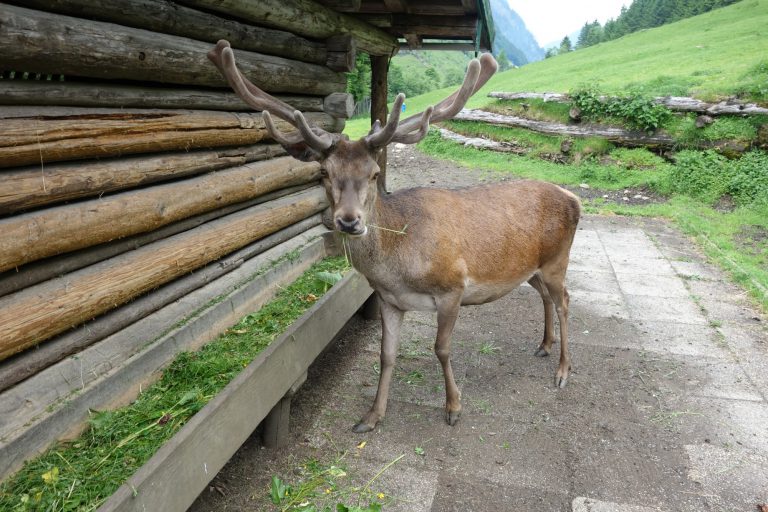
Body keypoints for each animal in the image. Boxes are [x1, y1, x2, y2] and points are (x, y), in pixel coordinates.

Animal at [207, 39, 580, 432]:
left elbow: (441, 348)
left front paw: (453, 407)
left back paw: (563, 370)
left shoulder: (453, 288)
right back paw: (544, 345)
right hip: (532, 267)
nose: (348, 221)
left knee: (565, 301)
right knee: (545, 296)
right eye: (323, 172)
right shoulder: (389, 299)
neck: (398, 263)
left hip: (558, 260)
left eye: (374, 173)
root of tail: (573, 198)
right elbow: (386, 355)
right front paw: (371, 416)